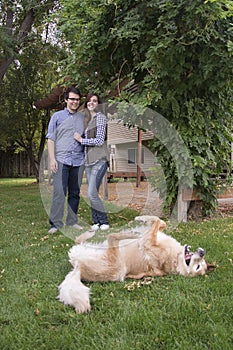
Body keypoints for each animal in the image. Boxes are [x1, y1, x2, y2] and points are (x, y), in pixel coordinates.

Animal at [57, 215, 212, 314]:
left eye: (197, 267)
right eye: (201, 264)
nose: (202, 252)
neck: (174, 258)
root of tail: (78, 267)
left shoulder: (148, 243)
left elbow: (156, 222)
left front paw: (140, 220)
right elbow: (161, 223)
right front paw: (143, 219)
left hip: (118, 265)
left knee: (111, 237)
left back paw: (129, 234)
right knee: (79, 240)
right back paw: (91, 232)